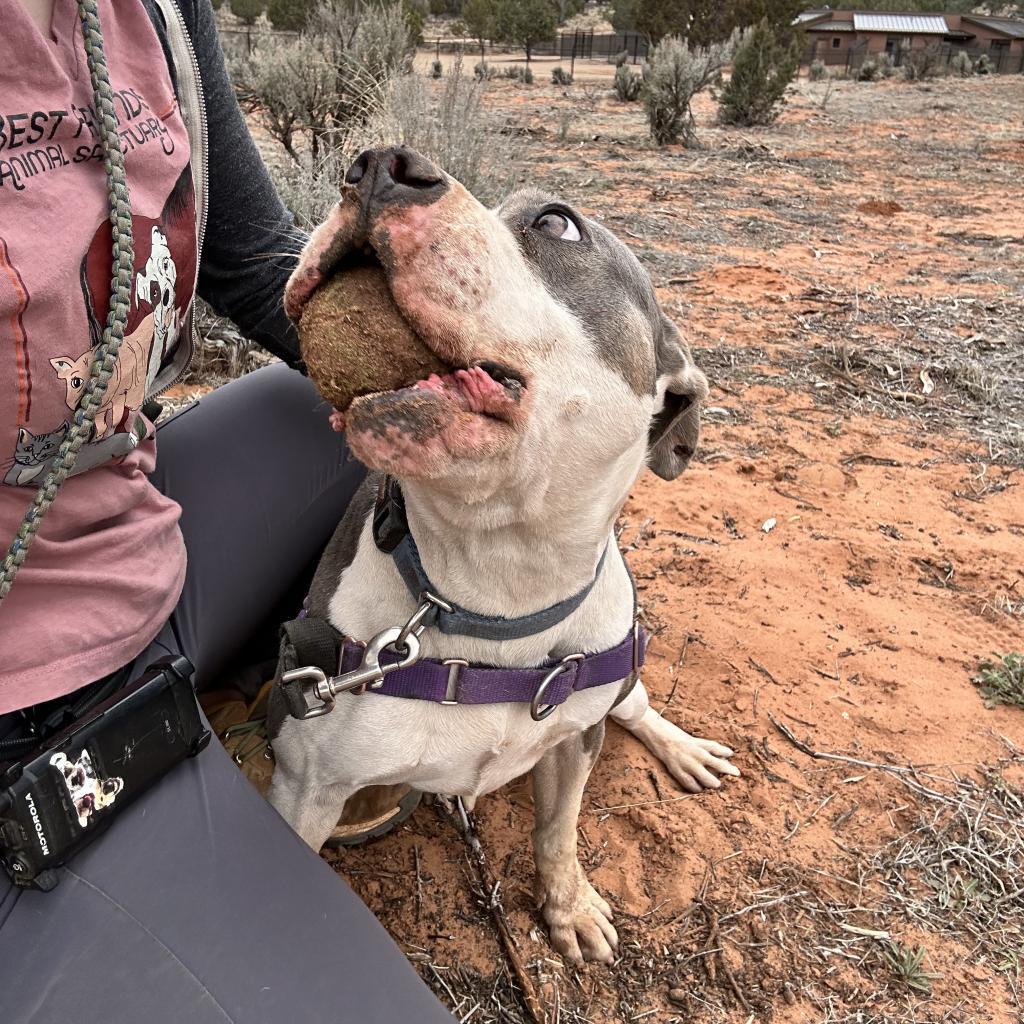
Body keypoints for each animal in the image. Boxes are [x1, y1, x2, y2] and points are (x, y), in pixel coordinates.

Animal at [270, 148, 737, 962]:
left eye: (557, 223)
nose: (376, 165)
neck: (497, 585)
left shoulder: (575, 737)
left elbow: (559, 833)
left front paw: (568, 908)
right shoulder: (304, 788)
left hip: (622, 674)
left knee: (636, 704)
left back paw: (682, 748)